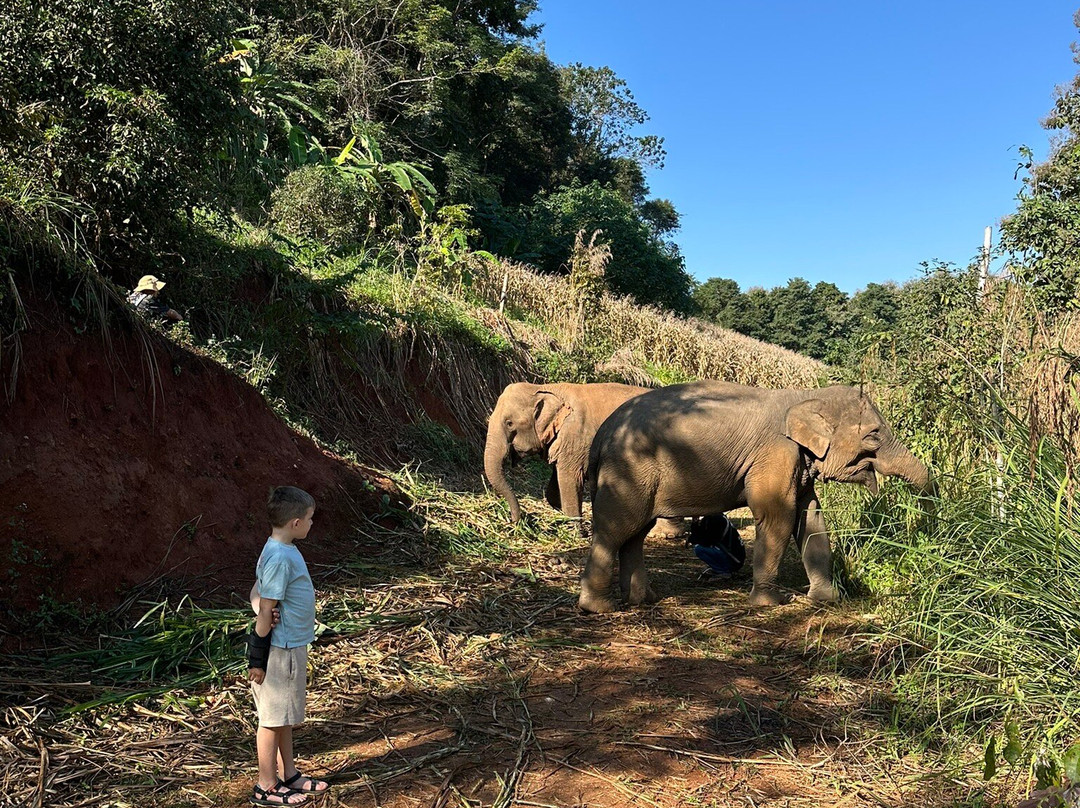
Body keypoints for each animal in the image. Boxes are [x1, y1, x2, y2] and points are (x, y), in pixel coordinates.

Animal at [578, 381, 933, 612]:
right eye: (873, 435)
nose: (929, 519)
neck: (804, 396)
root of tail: (601, 434)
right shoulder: (776, 452)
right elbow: (778, 517)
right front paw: (769, 604)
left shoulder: (797, 461)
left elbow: (811, 519)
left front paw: (827, 600)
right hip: (629, 469)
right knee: (616, 529)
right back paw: (599, 607)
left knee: (635, 534)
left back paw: (643, 600)